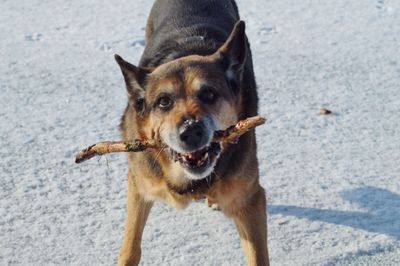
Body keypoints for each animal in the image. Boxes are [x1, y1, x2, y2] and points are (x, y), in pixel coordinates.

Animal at [114, 0, 268, 266]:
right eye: (163, 102)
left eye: (209, 94)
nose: (191, 132)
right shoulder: (140, 184)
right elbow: (131, 247)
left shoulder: (251, 202)